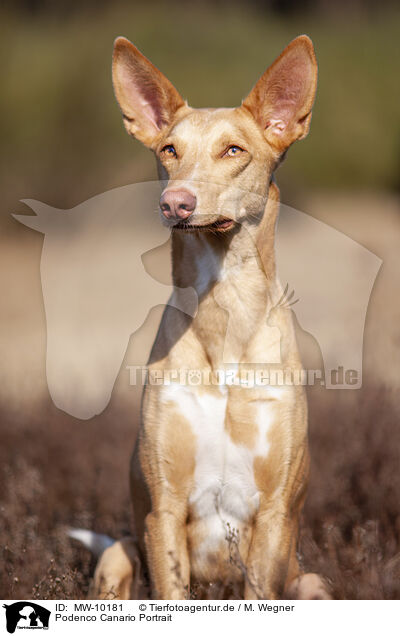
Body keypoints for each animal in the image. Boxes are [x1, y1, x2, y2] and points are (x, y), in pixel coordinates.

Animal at [83, 34, 330, 600]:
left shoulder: (276, 515)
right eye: (168, 150)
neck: (224, 312)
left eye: (233, 150)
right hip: (119, 552)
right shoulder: (163, 511)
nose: (175, 202)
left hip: (310, 581)